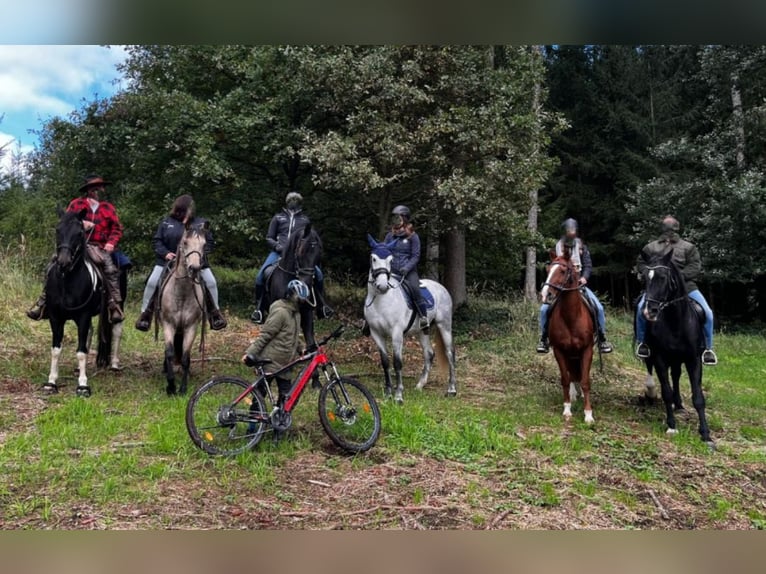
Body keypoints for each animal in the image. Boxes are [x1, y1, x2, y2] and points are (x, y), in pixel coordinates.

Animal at [44, 209, 117, 398]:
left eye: (79, 233)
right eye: (57, 229)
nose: (63, 262)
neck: (67, 282)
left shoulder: (83, 316)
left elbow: (81, 352)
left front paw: (83, 385)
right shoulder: (55, 317)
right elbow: (56, 350)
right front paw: (51, 382)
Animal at [158, 220, 208, 396]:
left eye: (204, 244)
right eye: (185, 243)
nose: (194, 268)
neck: (181, 293)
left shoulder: (191, 327)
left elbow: (185, 357)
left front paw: (183, 388)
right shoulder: (168, 324)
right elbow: (169, 352)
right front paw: (171, 386)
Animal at [540, 251, 600, 424]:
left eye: (562, 271)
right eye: (548, 270)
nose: (546, 294)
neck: (571, 317)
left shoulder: (587, 350)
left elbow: (585, 381)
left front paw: (588, 415)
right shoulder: (559, 351)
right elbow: (565, 380)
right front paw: (567, 410)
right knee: (571, 374)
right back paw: (573, 395)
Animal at [636, 251, 712, 446]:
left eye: (663, 277)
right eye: (645, 278)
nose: (649, 311)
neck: (675, 322)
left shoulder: (693, 360)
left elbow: (698, 397)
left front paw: (706, 434)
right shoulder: (660, 358)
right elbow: (666, 392)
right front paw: (671, 426)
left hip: (679, 359)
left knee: (676, 375)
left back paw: (679, 405)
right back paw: (652, 393)